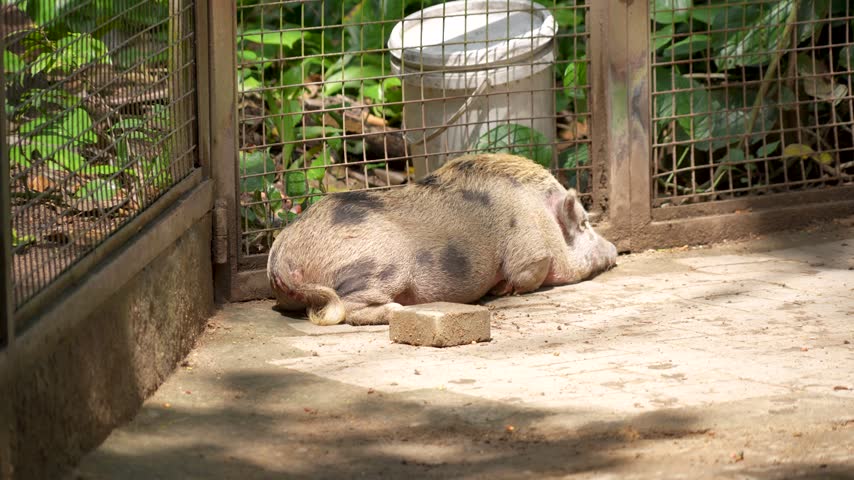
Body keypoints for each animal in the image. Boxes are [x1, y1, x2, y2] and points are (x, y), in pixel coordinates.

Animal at [267, 153, 617, 326]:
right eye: (584, 223)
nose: (614, 250)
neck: (541, 213)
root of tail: (280, 256)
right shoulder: (529, 253)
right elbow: (526, 275)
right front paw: (501, 290)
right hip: (382, 266)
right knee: (347, 308)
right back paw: (397, 310)